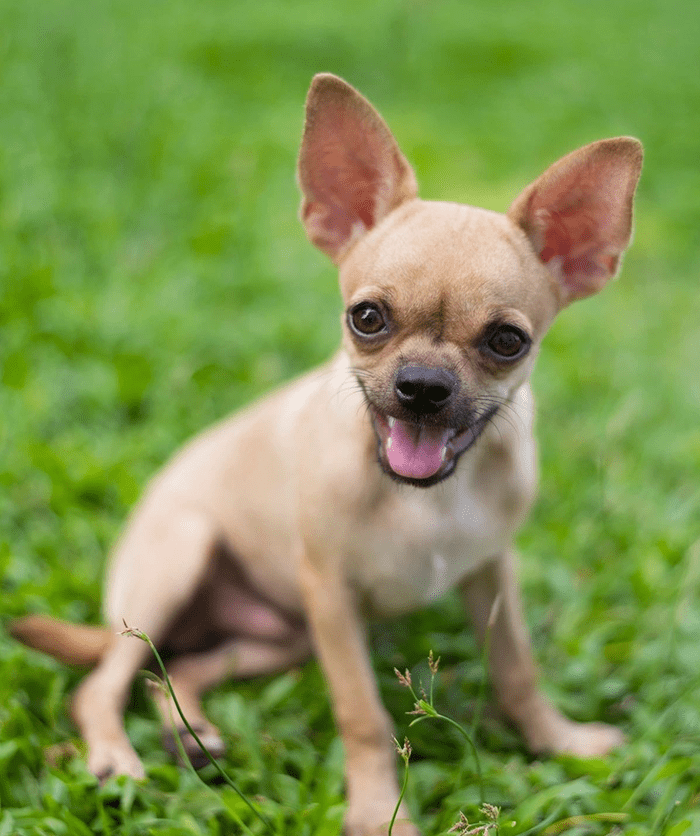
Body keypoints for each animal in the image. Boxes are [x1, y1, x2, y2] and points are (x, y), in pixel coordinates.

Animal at [12, 75, 644, 832]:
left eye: (506, 342)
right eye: (366, 318)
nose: (422, 386)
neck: (425, 499)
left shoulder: (491, 573)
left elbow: (518, 671)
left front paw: (559, 742)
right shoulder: (333, 602)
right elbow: (363, 715)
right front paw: (377, 811)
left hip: (281, 636)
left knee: (182, 667)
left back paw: (193, 736)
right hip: (178, 564)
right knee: (108, 678)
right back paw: (115, 757)